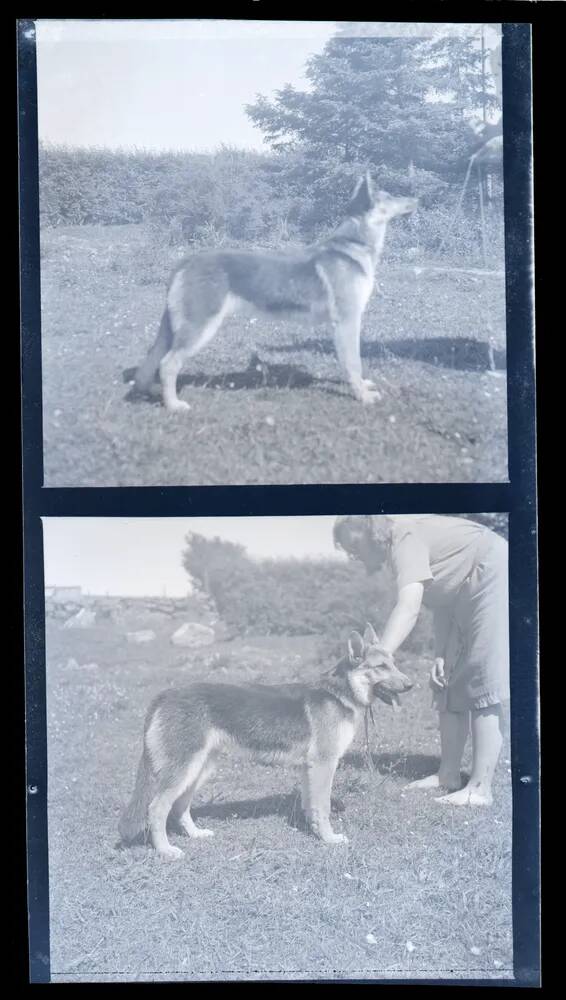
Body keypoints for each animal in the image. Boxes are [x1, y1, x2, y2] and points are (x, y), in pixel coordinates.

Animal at [120, 620, 412, 856]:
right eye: (381, 667)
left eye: (394, 663)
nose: (411, 685)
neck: (339, 693)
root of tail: (165, 695)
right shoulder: (324, 764)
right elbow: (324, 807)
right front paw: (329, 839)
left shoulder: (310, 768)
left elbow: (311, 806)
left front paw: (313, 832)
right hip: (184, 771)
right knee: (157, 808)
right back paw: (166, 850)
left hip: (199, 770)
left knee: (180, 806)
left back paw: (195, 835)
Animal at [133, 172, 418, 410]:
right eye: (389, 196)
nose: (415, 198)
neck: (354, 242)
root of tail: (186, 261)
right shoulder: (348, 322)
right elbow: (353, 363)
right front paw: (362, 396)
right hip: (199, 328)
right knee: (168, 364)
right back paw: (173, 405)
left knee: (155, 360)